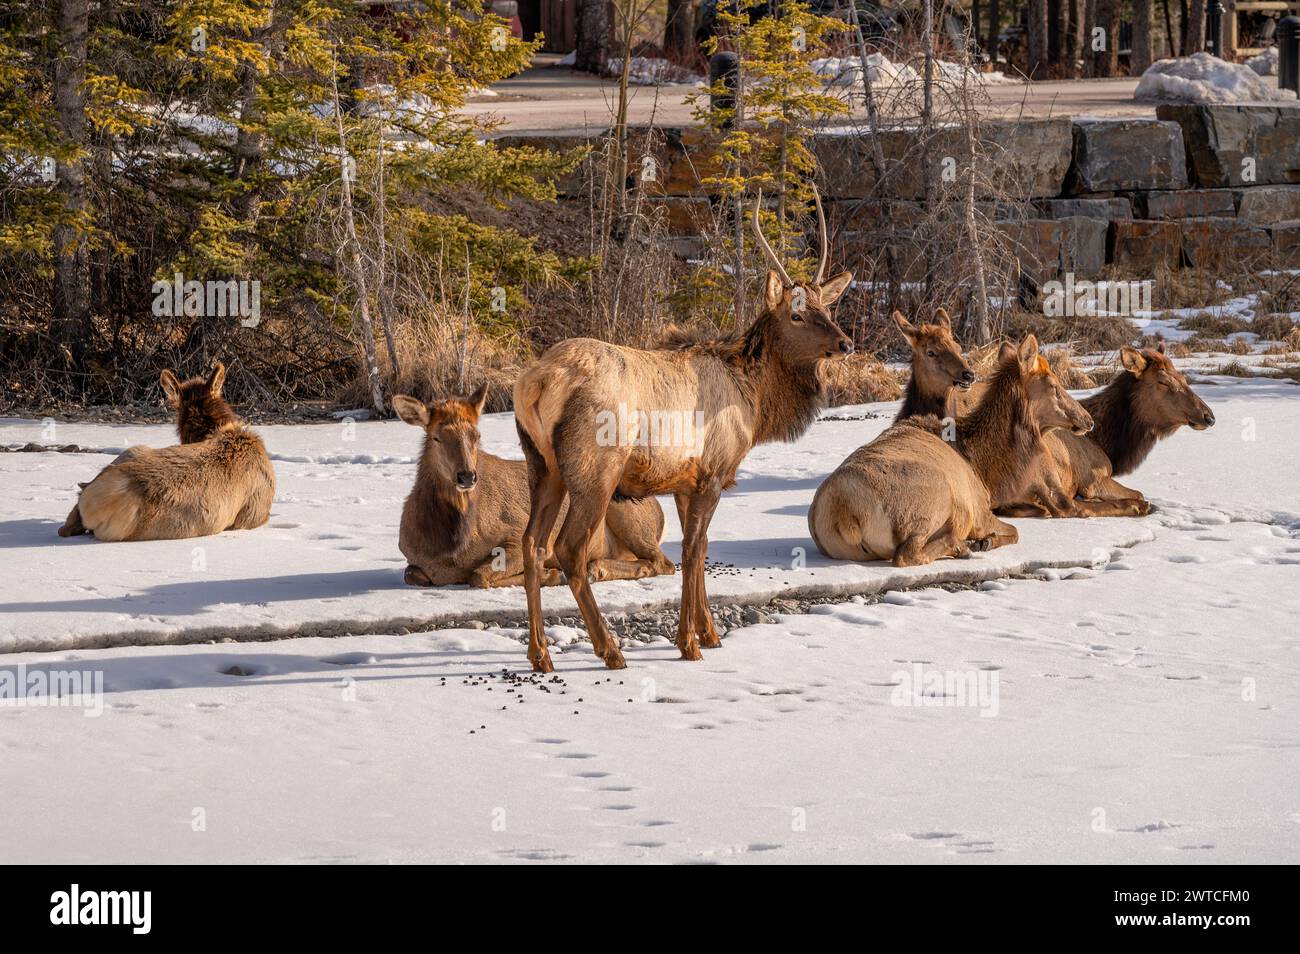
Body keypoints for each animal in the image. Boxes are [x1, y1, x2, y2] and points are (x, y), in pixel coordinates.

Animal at [512, 191, 857, 675]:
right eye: (796, 314)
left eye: (828, 308)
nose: (846, 343)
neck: (754, 402)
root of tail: (538, 381)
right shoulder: (713, 472)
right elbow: (693, 550)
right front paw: (689, 643)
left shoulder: (683, 480)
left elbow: (703, 547)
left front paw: (710, 632)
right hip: (595, 469)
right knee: (570, 550)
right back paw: (610, 649)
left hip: (542, 465)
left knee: (531, 544)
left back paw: (540, 654)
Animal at [806, 335, 1092, 566]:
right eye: (1053, 384)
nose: (1088, 419)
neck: (984, 467)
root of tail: (844, 514)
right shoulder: (980, 510)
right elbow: (1015, 532)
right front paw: (984, 542)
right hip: (933, 501)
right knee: (907, 554)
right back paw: (961, 546)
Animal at [993, 343, 1216, 519]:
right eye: (1163, 381)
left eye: (1182, 377)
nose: (1209, 416)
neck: (1106, 442)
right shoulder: (1094, 478)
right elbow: (1138, 492)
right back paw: (1136, 507)